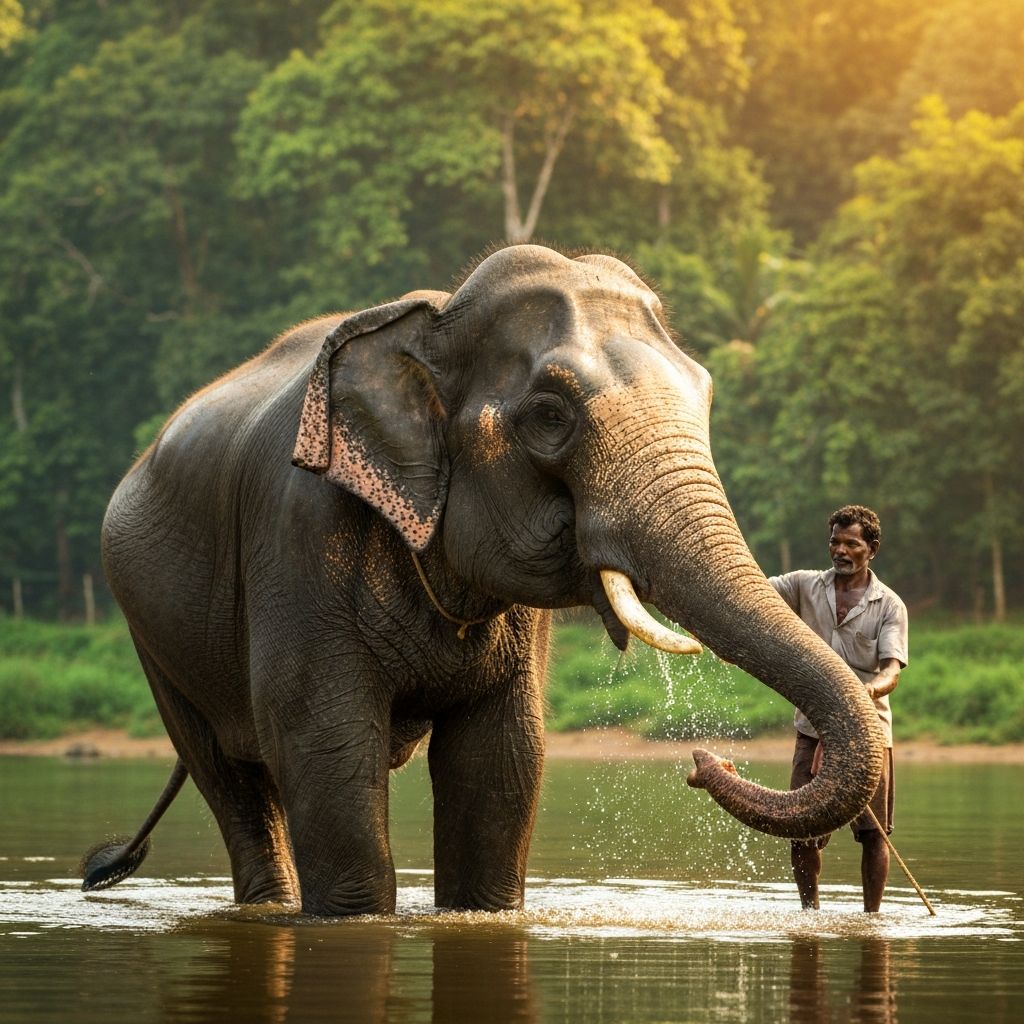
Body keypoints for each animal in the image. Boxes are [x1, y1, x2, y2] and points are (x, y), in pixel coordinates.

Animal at [81, 244, 884, 916]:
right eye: (551, 416)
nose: (698, 760)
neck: (434, 320)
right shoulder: (296, 535)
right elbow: (327, 747)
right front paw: (355, 918)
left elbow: (501, 762)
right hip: (150, 630)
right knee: (230, 779)